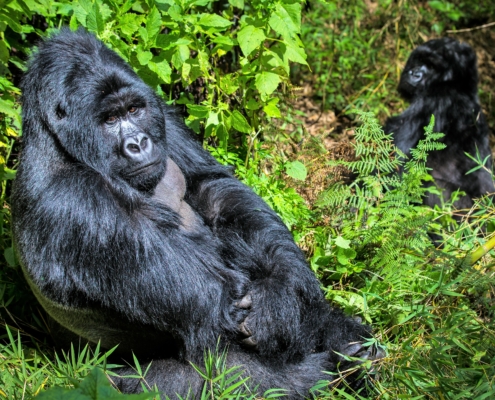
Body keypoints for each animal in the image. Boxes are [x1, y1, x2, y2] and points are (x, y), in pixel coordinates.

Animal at [12, 29, 380, 398]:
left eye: (134, 109)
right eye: (110, 120)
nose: (138, 144)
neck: (58, 144)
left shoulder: (162, 116)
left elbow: (213, 187)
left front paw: (279, 301)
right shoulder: (77, 201)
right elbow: (224, 304)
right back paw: (340, 367)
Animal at [386, 36, 494, 209]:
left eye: (431, 66)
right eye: (419, 60)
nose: (414, 73)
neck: (460, 87)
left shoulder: (435, 98)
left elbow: (395, 162)